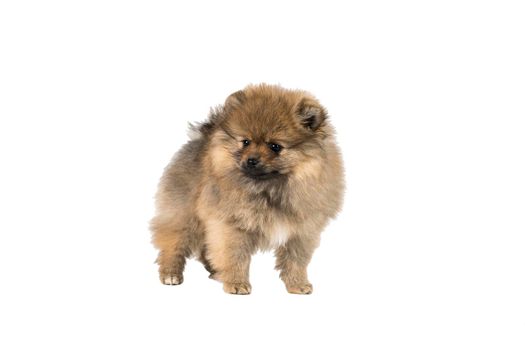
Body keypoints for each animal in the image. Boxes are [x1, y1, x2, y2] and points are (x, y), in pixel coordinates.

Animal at [149, 83, 344, 294]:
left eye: (275, 146)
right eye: (246, 142)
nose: (251, 160)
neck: (270, 188)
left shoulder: (301, 230)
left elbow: (295, 261)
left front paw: (297, 284)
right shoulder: (232, 225)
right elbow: (235, 256)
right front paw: (236, 283)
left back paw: (215, 271)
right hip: (184, 214)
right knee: (173, 243)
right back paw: (171, 274)